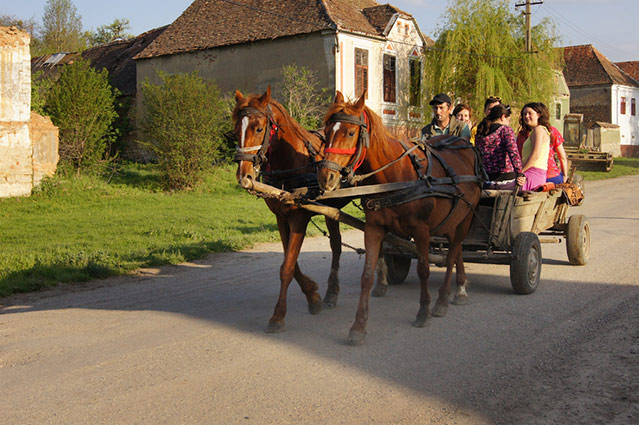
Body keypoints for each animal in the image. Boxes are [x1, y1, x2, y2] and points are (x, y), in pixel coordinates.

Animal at [234, 86, 364, 332]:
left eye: (259, 128)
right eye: (235, 129)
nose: (244, 175)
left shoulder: (299, 218)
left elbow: (287, 266)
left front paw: (278, 315)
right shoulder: (281, 218)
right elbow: (290, 262)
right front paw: (313, 295)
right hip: (331, 210)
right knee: (336, 245)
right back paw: (332, 292)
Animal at [318, 91, 482, 342]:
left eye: (350, 133)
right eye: (326, 132)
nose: (326, 176)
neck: (395, 176)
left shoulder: (422, 230)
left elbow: (423, 269)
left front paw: (423, 311)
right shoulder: (374, 228)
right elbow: (367, 274)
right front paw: (359, 326)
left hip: (466, 218)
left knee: (453, 253)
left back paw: (443, 299)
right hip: (452, 221)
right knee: (457, 251)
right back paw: (460, 288)